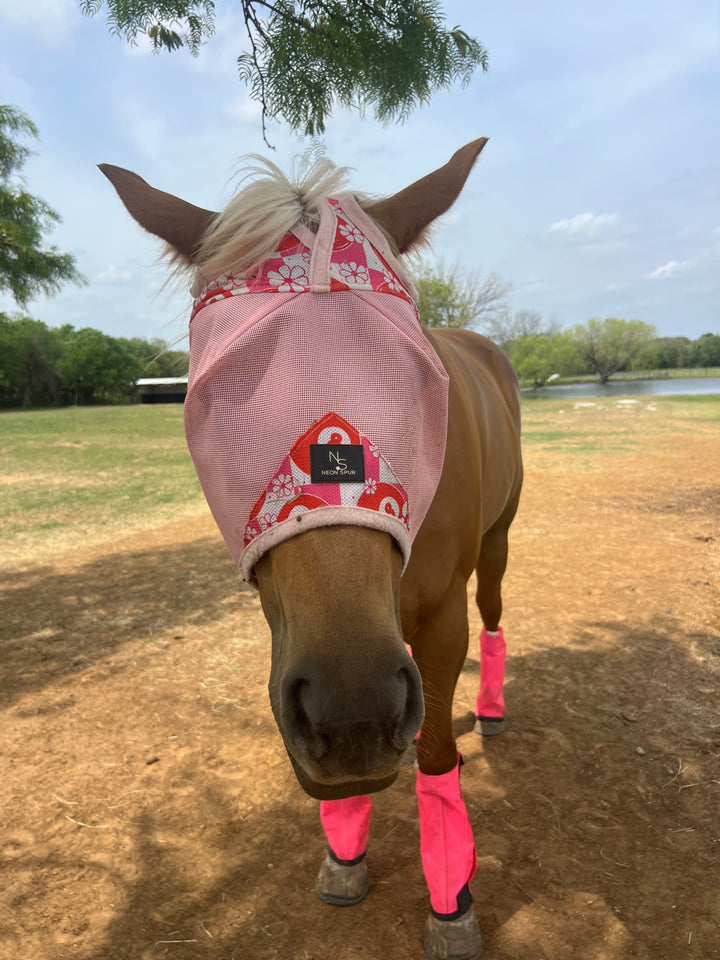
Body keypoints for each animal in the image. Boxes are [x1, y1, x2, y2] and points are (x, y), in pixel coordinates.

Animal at [100, 138, 523, 960]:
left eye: (418, 379)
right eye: (214, 393)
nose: (351, 712)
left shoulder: (439, 620)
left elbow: (435, 760)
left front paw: (451, 901)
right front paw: (345, 851)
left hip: (496, 545)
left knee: (493, 611)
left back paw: (486, 709)